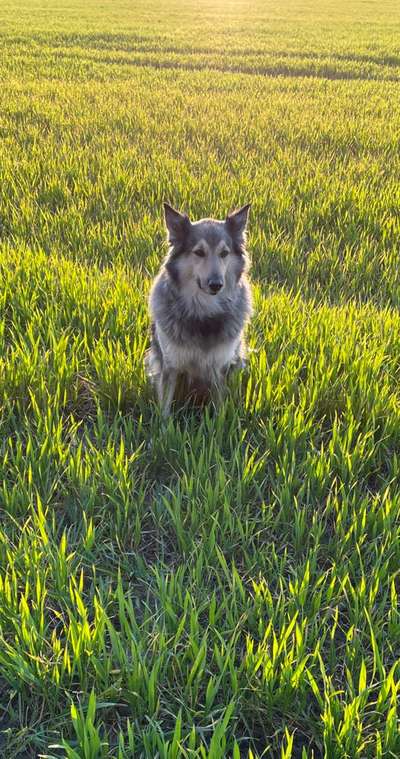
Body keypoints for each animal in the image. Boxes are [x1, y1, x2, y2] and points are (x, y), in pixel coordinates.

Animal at [145, 202, 253, 416]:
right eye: (199, 252)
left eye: (224, 253)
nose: (216, 284)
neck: (203, 310)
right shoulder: (170, 366)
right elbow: (165, 408)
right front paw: (163, 424)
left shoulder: (220, 368)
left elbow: (220, 409)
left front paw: (220, 423)